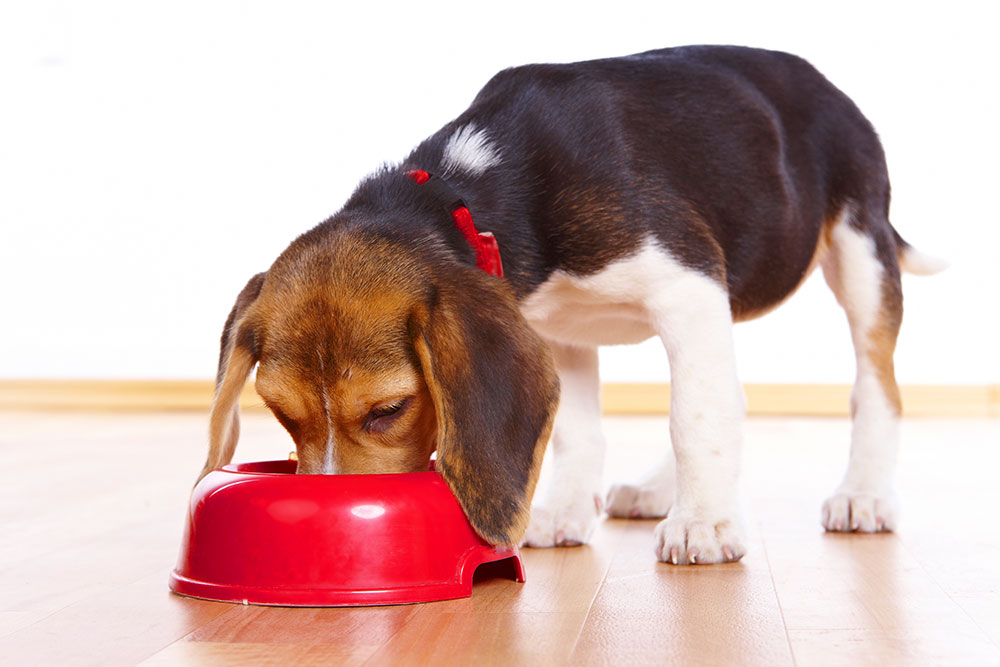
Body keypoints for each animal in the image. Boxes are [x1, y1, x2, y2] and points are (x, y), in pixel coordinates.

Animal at [199, 45, 940, 564]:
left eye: (388, 410)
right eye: (282, 413)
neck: (467, 194)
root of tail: (825, 81)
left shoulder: (687, 285)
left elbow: (694, 416)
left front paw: (703, 524)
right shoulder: (556, 330)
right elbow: (583, 429)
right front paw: (563, 513)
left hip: (860, 251)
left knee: (876, 387)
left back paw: (863, 493)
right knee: (734, 392)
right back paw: (657, 490)